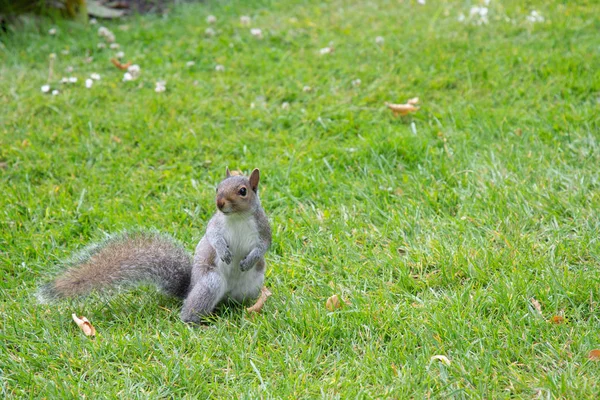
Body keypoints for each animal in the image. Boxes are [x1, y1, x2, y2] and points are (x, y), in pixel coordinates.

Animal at [37, 167, 272, 324]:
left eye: (243, 191)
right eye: (217, 188)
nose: (220, 203)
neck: (237, 217)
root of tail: (189, 289)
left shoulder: (263, 227)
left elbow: (264, 246)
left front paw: (249, 260)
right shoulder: (215, 224)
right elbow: (213, 237)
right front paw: (223, 252)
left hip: (252, 285)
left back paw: (246, 308)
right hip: (210, 282)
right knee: (190, 311)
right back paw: (197, 323)